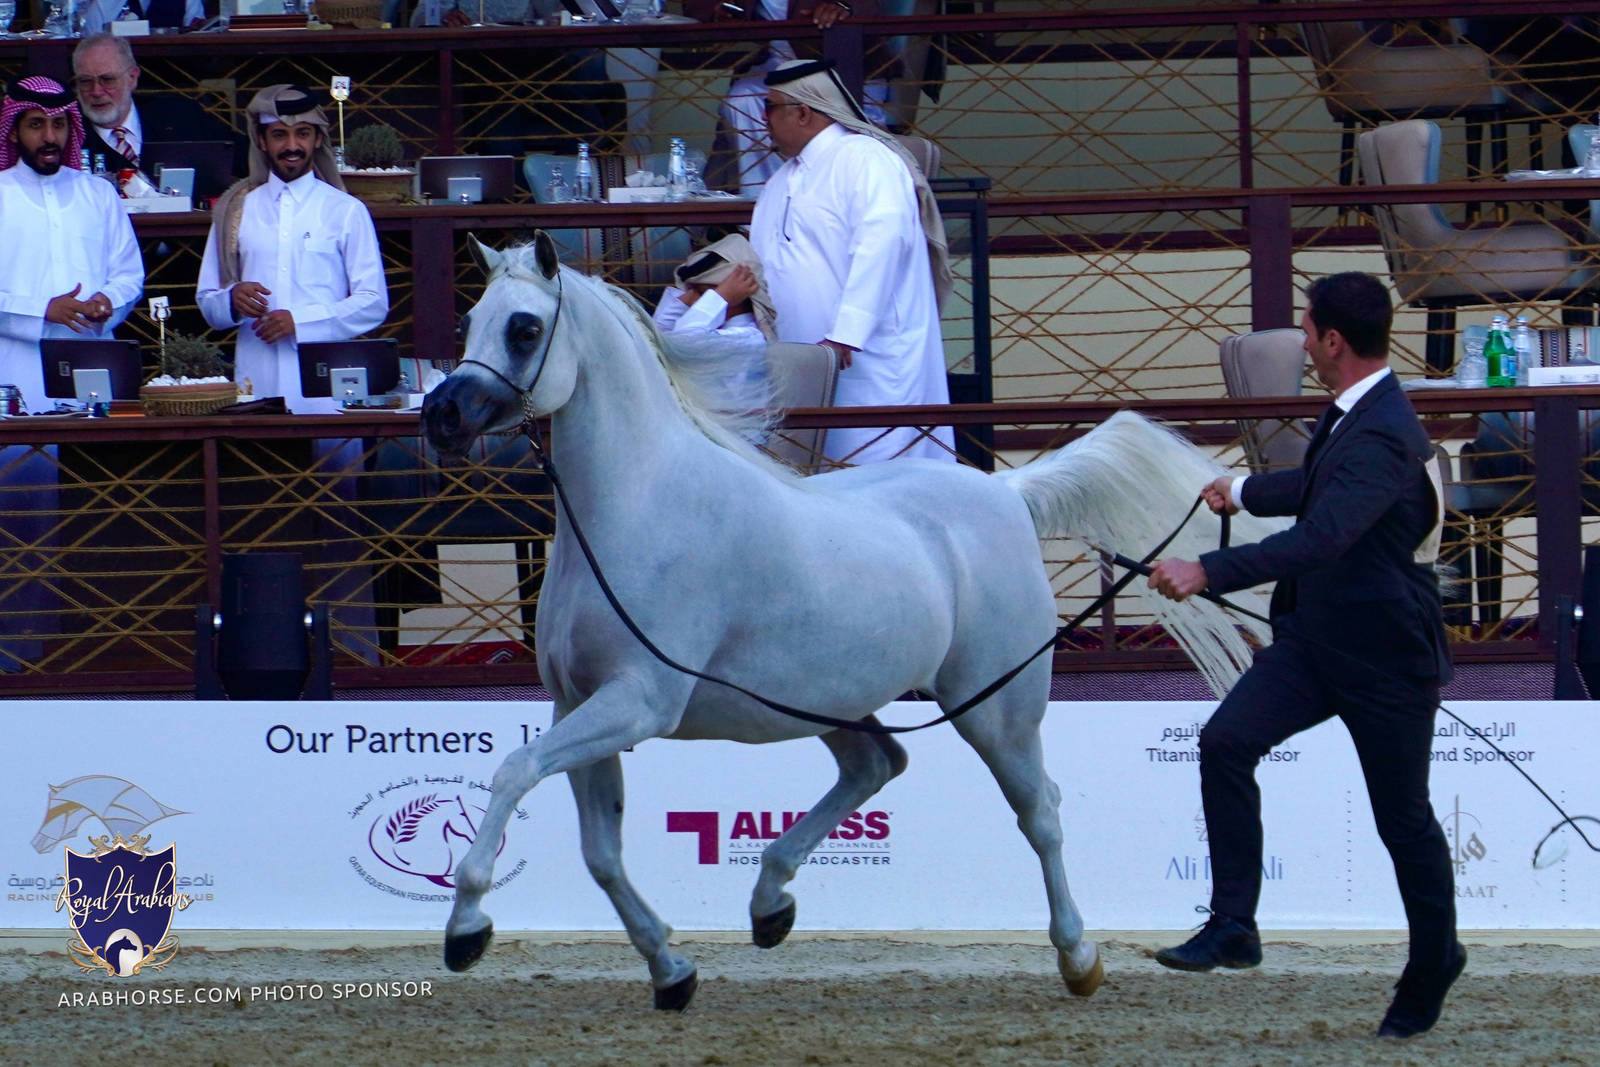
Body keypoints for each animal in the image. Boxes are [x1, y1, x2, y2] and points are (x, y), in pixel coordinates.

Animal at [421, 232, 1281, 1011]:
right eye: (467, 320)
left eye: (523, 326)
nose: (441, 413)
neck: (636, 507)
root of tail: (1006, 493)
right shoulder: (581, 704)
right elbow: (600, 852)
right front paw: (671, 970)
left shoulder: (637, 702)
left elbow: (512, 772)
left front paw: (466, 928)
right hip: (830, 702)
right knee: (878, 765)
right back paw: (770, 904)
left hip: (997, 709)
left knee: (1039, 810)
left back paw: (1078, 958)